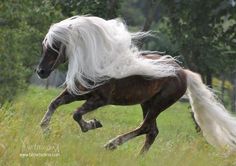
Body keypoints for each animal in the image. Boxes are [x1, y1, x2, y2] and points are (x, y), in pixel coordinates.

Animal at [36, 15, 236, 154]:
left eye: (55, 46)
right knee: (152, 131)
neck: (95, 63)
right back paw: (138, 157)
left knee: (146, 128)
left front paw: (93, 124)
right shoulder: (78, 94)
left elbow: (76, 114)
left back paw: (111, 144)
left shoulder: (99, 99)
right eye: (44, 46)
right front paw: (45, 130)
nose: (40, 72)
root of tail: (183, 73)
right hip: (146, 103)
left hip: (158, 104)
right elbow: (53, 104)